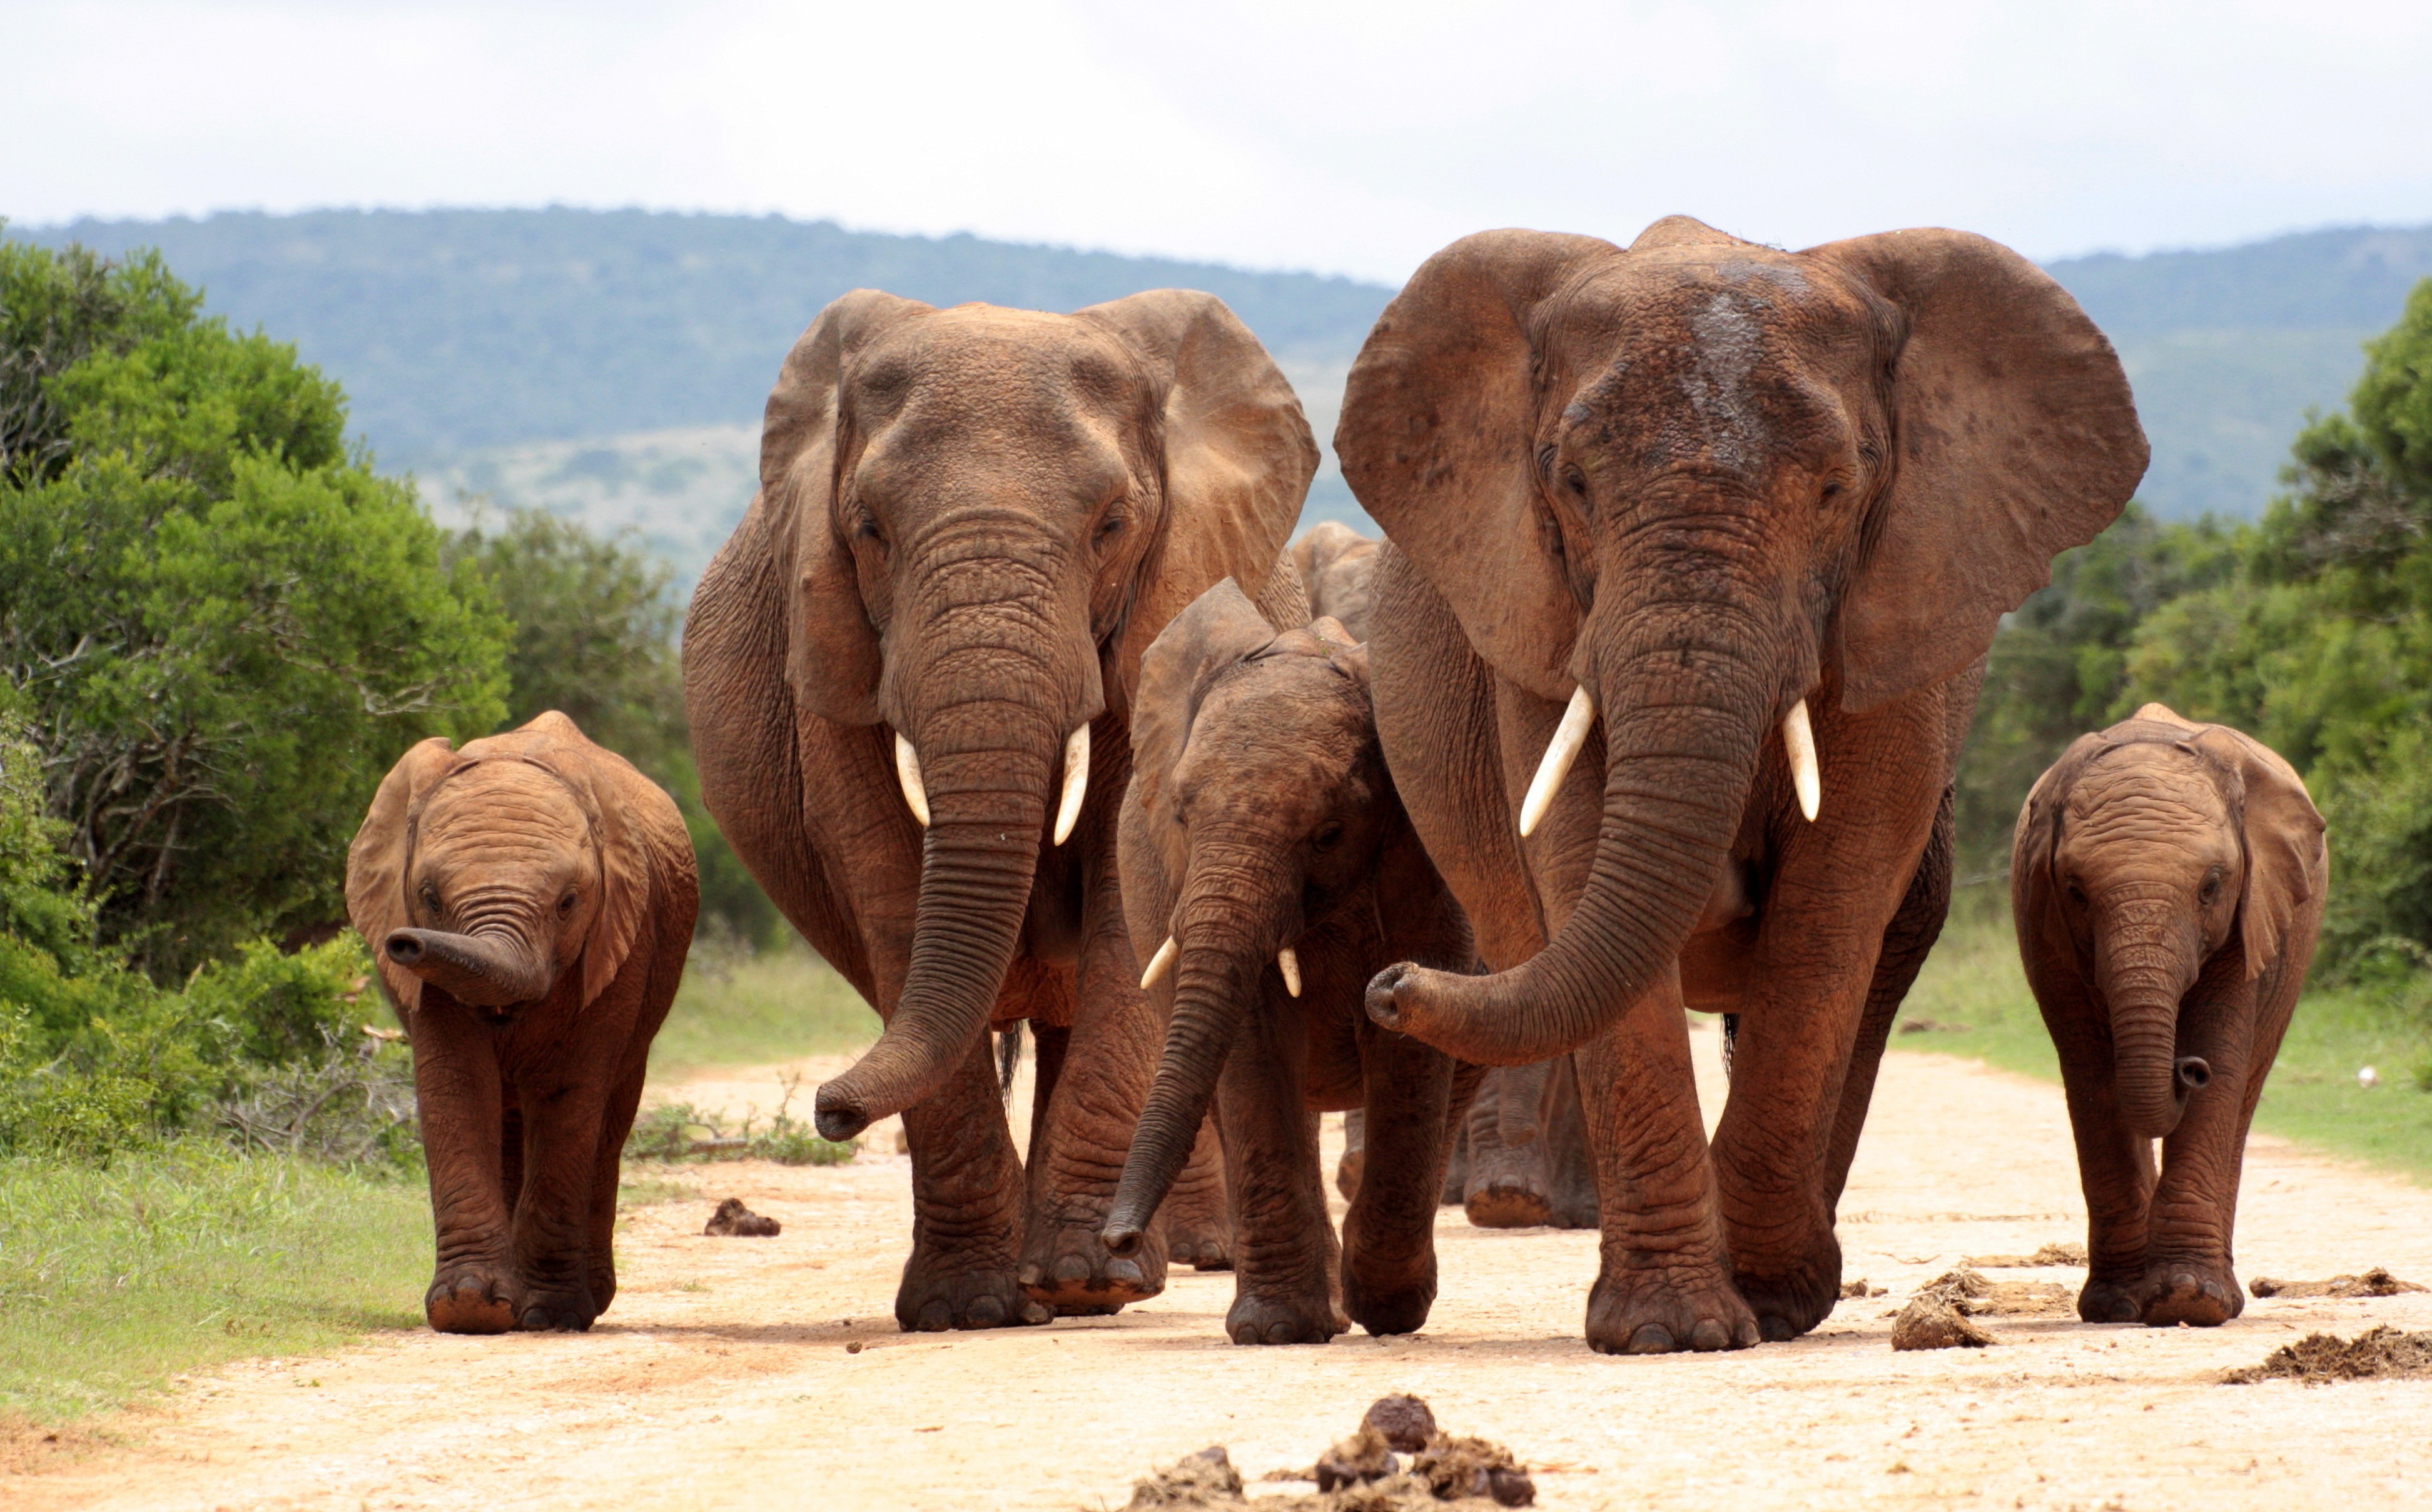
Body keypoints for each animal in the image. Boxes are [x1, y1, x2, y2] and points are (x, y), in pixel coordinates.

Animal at [345, 711, 699, 1334]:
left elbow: (569, 1096)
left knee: (609, 1119)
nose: (404, 944)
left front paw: (550, 1314)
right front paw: (469, 1307)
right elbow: (457, 1084)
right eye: (429, 898)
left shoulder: (620, 941)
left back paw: (588, 1299)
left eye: (569, 902)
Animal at [681, 288, 1316, 1330]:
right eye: (868, 528)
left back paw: (1127, 1266)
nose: (828, 1110)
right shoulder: (834, 656)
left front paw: (1085, 1282)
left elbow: (1123, 897)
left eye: (1113, 524)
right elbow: (892, 889)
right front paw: (966, 1308)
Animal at [1100, 579, 1477, 1343]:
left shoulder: (1427, 863)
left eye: (1329, 833)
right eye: (1180, 816)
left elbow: (1409, 1039)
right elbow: (1253, 1041)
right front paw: (1278, 1329)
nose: (1116, 1241)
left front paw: (1385, 1309)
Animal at [1336, 217, 2147, 1353]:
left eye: (1836, 490)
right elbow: (1578, 865)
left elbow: (1833, 904)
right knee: (1511, 969)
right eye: (1570, 484)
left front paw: (1759, 1301)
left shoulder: (1898, 618)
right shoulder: (1540, 619)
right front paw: (1670, 1329)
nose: (1388, 984)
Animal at [2012, 703, 2326, 1327]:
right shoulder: (2044, 922)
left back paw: (2219, 1297)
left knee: (2244, 1091)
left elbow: (2223, 1053)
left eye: (2211, 887)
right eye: (2076, 892)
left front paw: (2189, 1299)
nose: (2187, 1068)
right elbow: (2091, 1075)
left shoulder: (2252, 913)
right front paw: (2116, 1306)